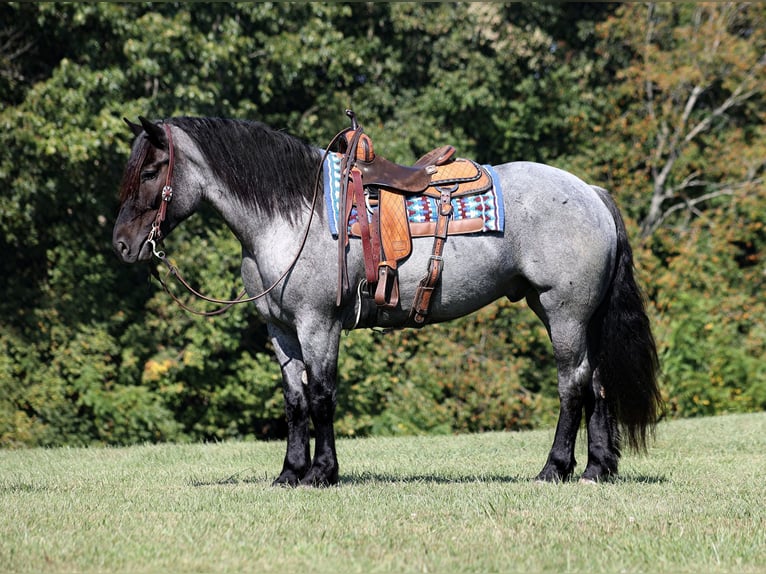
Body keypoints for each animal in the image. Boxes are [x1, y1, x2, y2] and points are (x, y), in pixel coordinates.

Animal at [111, 115, 664, 488]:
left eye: (152, 170)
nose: (121, 244)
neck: (293, 215)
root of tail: (590, 191)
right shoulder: (282, 331)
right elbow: (294, 401)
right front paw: (290, 473)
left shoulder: (318, 325)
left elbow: (322, 396)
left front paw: (322, 473)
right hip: (574, 315)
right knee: (598, 383)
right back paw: (597, 469)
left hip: (564, 313)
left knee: (573, 386)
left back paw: (554, 469)